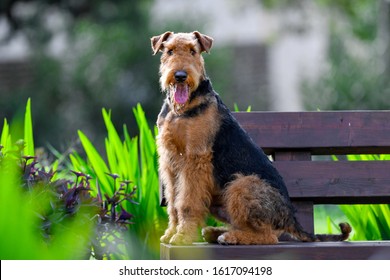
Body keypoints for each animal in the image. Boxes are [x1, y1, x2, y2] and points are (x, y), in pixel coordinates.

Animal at [151, 31, 352, 245]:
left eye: (193, 51)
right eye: (169, 51)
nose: (180, 76)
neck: (181, 110)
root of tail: (290, 216)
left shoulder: (195, 159)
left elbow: (187, 202)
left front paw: (182, 236)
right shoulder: (170, 160)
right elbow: (173, 202)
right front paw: (171, 233)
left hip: (241, 185)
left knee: (268, 236)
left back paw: (228, 237)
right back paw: (215, 232)